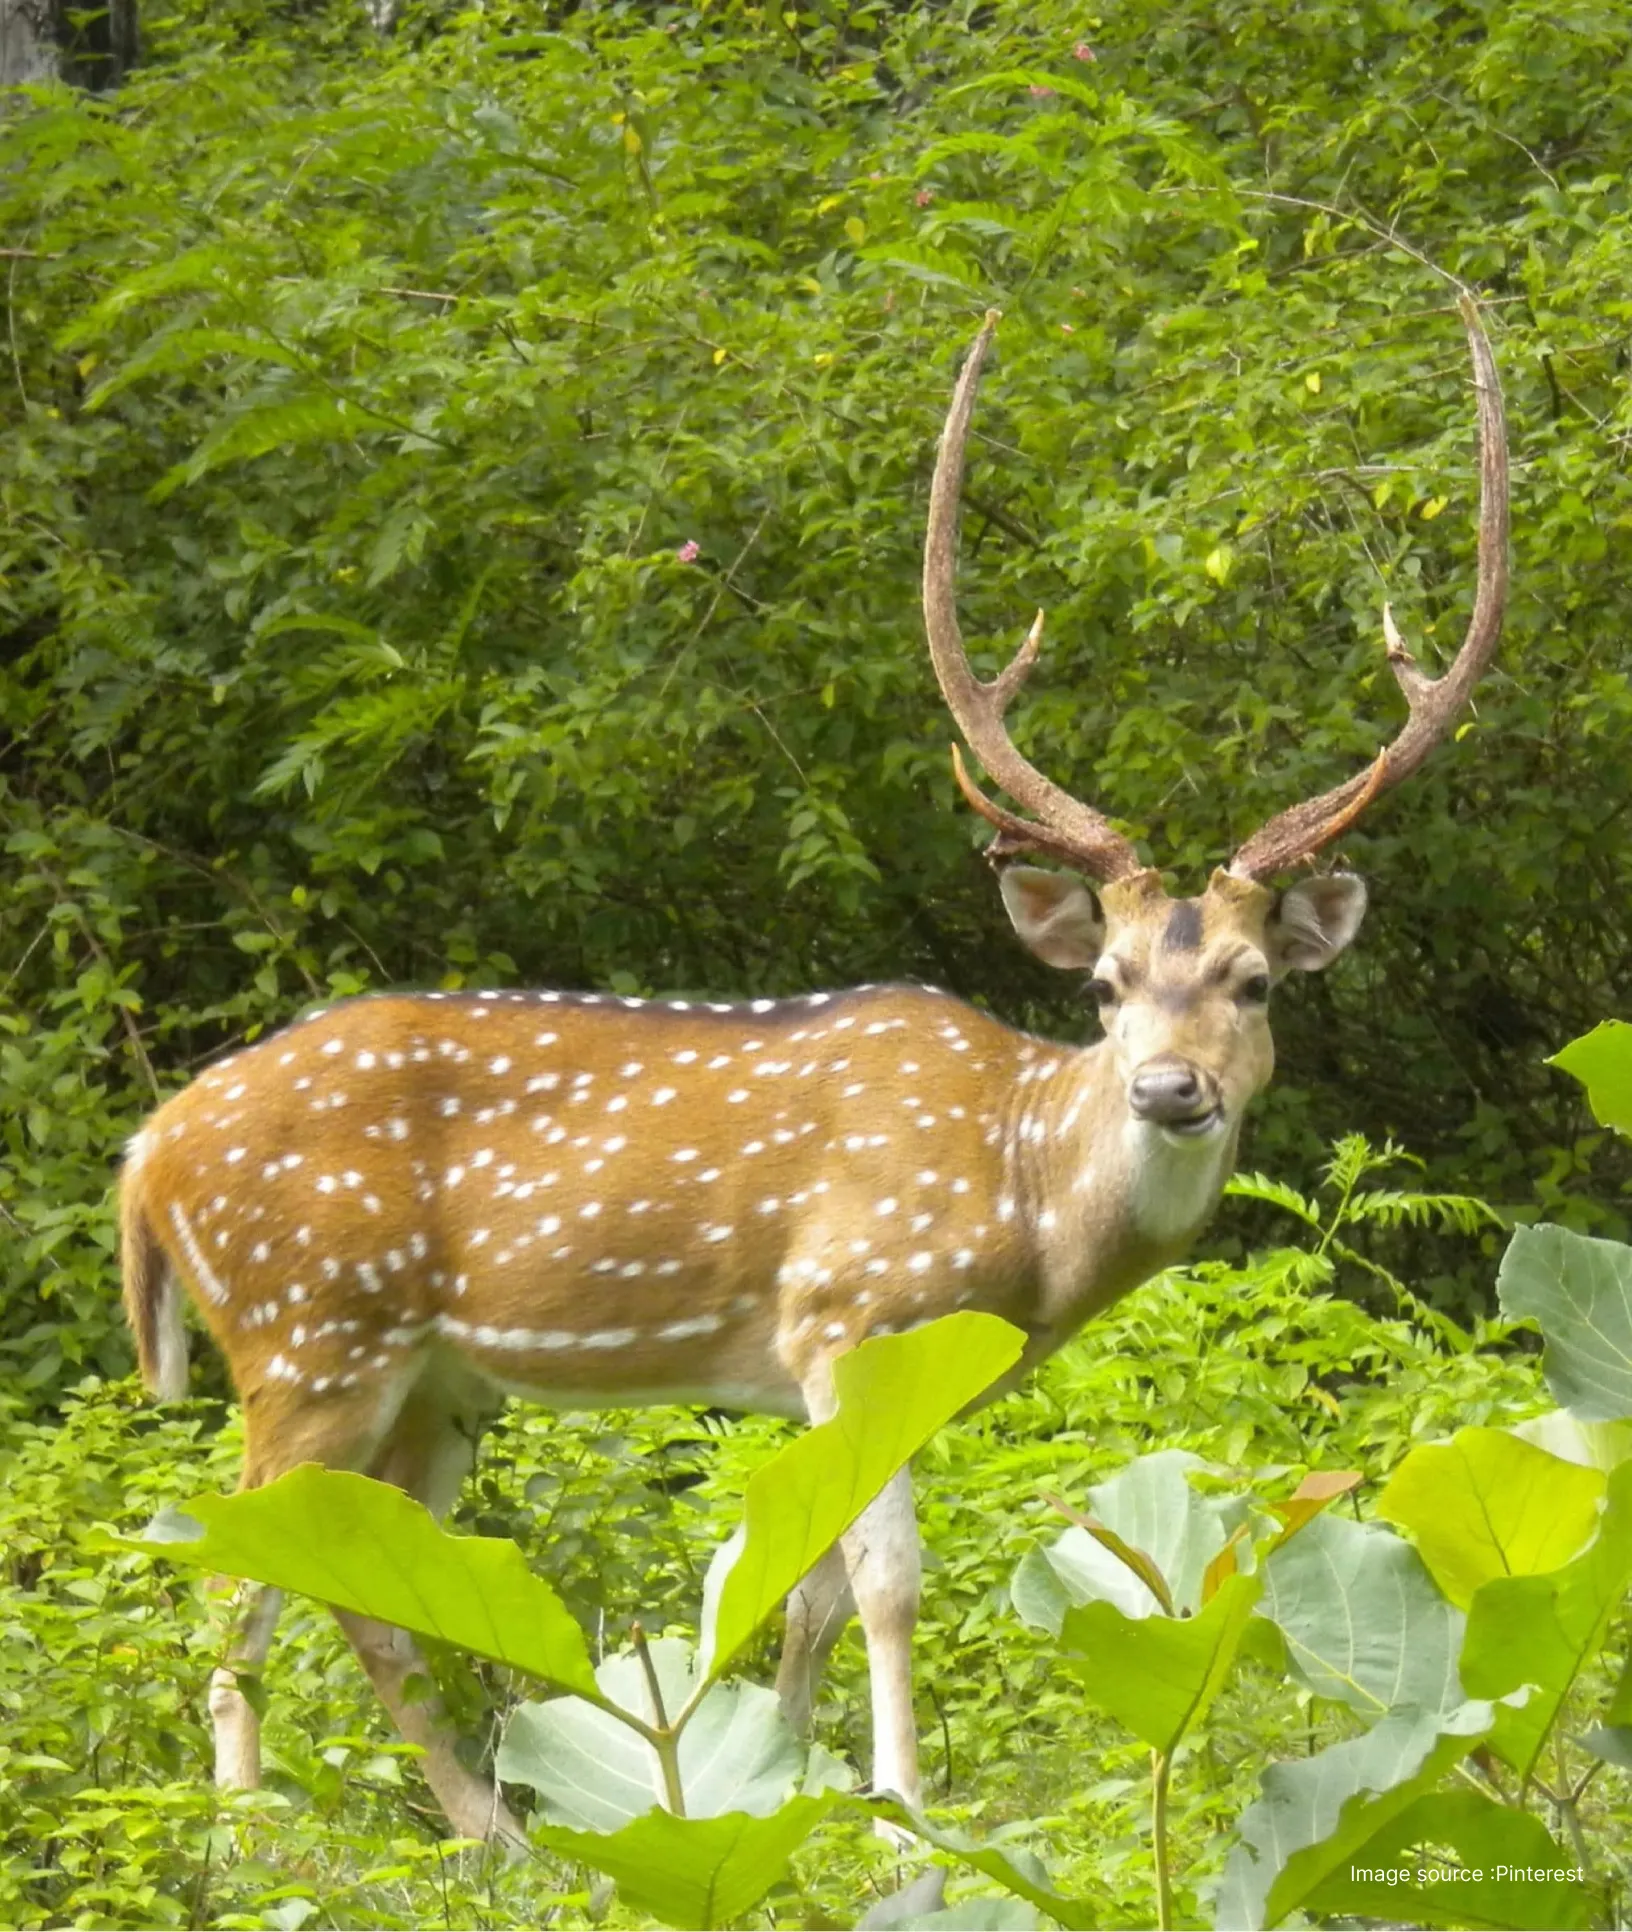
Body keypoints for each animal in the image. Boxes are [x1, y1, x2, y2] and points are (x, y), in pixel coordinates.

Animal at [119, 297, 1507, 1850]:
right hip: (307, 1331)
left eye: (1254, 983)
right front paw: (904, 1804)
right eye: (1102, 987)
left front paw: (780, 1776)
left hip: (426, 1383)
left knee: (368, 1587)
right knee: (231, 1574)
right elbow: (890, 1586)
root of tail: (148, 1154)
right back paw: (250, 1835)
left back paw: (489, 1830)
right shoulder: (854, 1311)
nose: (1169, 1091)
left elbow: (813, 1597)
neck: (1022, 1206)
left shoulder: (874, 1377)